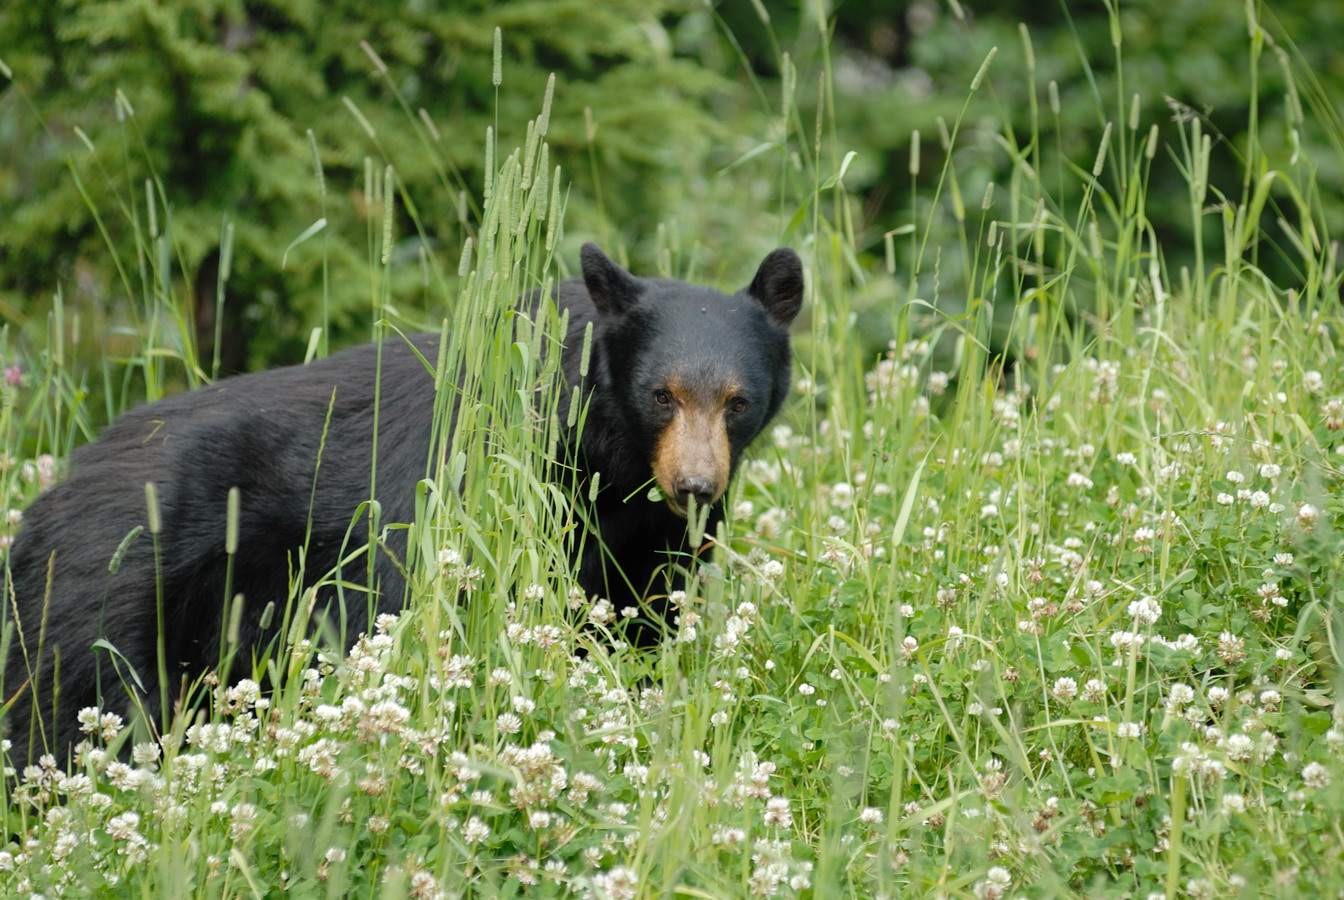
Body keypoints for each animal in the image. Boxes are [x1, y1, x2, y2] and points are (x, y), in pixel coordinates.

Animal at [5, 243, 801, 762]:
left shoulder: (647, 538)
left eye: (736, 402)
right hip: (108, 595)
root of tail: (44, 504)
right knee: (73, 710)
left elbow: (644, 612)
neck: (613, 454)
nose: (695, 486)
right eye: (662, 394)